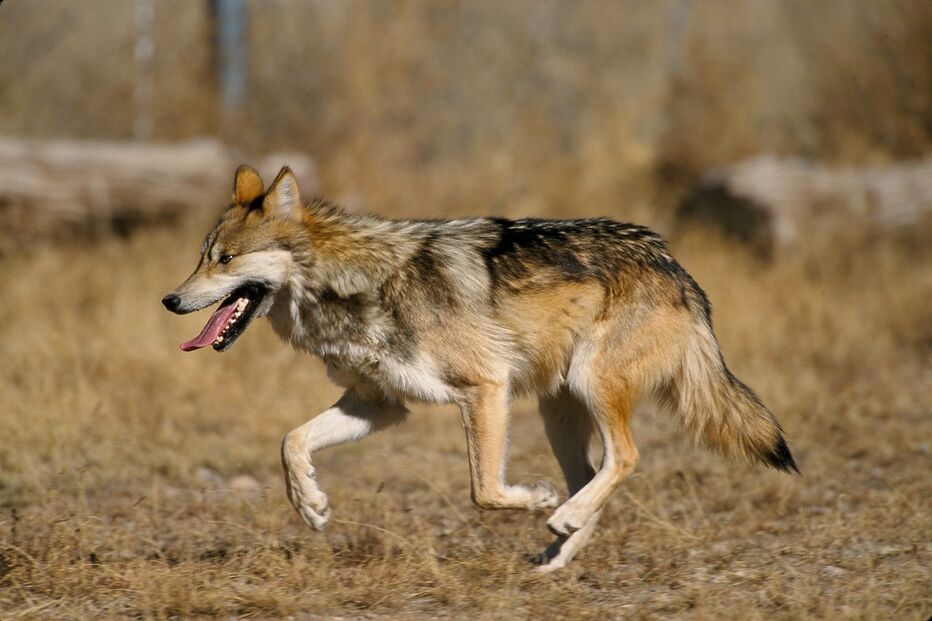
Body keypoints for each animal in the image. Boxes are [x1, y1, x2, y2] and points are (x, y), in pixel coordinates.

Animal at [162, 165, 798, 571]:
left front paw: (534, 499)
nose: (169, 300)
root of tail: (674, 266)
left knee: (625, 458)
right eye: (201, 257)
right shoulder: (379, 405)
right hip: (558, 412)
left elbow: (484, 491)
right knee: (593, 475)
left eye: (226, 260)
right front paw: (311, 505)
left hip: (589, 386)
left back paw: (559, 515)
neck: (353, 285)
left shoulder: (484, 388)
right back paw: (558, 550)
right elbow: (291, 441)